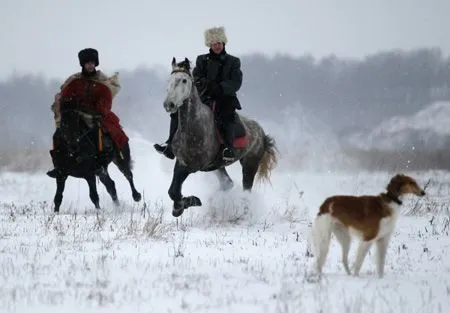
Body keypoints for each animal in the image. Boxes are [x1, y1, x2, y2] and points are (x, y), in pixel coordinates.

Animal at [162, 57, 278, 216]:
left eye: (184, 80)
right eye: (169, 80)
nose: (169, 105)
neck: (193, 127)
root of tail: (262, 133)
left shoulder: (192, 166)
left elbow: (173, 191)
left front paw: (189, 202)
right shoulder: (181, 162)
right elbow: (173, 190)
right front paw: (180, 206)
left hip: (250, 164)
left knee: (246, 190)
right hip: (218, 166)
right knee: (228, 183)